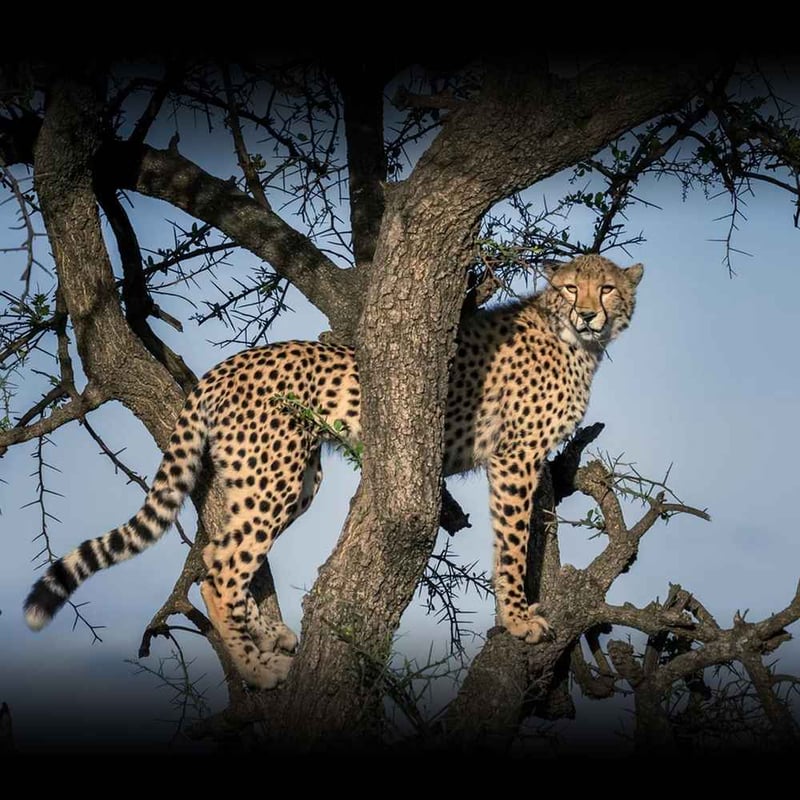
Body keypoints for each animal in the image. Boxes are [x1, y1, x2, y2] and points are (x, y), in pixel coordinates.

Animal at [23, 253, 643, 689]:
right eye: (571, 287)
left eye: (608, 287)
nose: (589, 312)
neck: (573, 339)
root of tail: (228, 364)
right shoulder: (514, 457)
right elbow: (511, 544)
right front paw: (517, 620)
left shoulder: (527, 459)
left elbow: (533, 530)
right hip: (273, 474)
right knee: (218, 567)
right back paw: (257, 668)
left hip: (293, 480)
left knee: (226, 551)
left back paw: (269, 635)